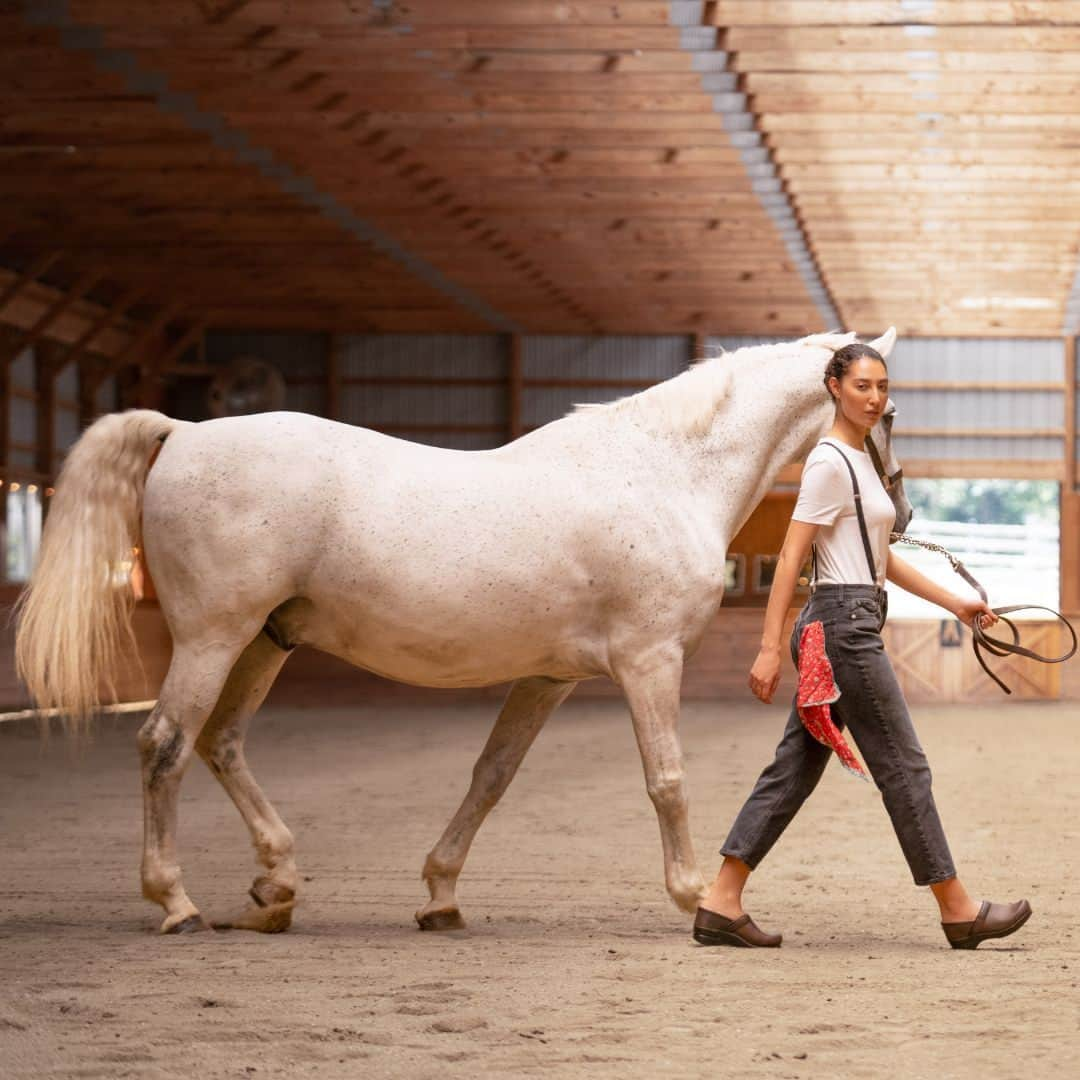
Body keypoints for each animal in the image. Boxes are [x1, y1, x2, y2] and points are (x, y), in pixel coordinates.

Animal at [21, 324, 907, 933]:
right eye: (887, 404)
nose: (897, 506)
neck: (667, 473)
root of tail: (185, 430)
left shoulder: (549, 678)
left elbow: (491, 776)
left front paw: (441, 893)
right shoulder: (649, 662)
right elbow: (667, 780)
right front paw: (694, 896)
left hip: (263, 643)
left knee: (221, 743)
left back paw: (275, 886)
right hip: (213, 637)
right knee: (165, 746)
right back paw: (175, 902)